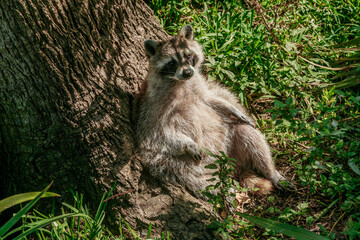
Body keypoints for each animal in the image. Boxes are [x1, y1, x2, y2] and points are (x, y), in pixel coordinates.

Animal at [136, 25, 292, 196]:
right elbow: (158, 133)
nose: (188, 72)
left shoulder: (198, 87)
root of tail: (232, 166)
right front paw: (188, 143)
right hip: (178, 163)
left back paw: (271, 172)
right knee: (197, 178)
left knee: (249, 135)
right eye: (171, 63)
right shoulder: (153, 108)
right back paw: (224, 192)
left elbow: (210, 100)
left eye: (188, 55)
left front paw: (232, 108)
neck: (181, 82)